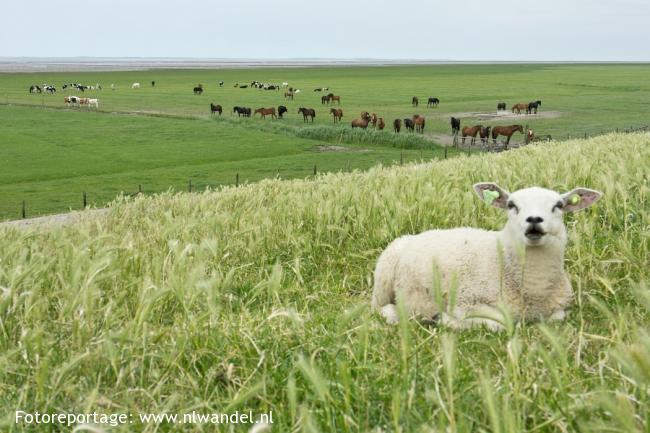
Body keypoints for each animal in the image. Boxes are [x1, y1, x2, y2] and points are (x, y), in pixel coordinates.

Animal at [372, 181, 600, 328]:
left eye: (558, 205)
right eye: (511, 205)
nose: (534, 219)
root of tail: (414, 236)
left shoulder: (559, 308)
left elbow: (558, 317)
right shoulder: (466, 302)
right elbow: (500, 323)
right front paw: (445, 320)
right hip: (382, 280)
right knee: (378, 309)